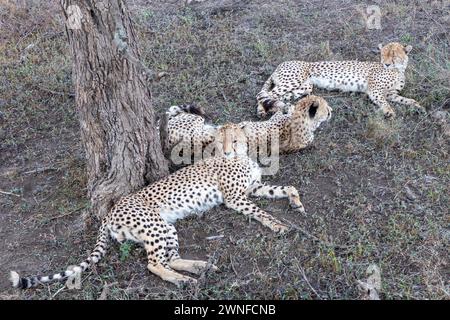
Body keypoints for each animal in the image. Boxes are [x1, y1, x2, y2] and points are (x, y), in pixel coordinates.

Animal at [9, 124, 306, 288]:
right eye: (220, 141)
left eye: (233, 140)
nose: (228, 149)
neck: (241, 157)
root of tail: (111, 210)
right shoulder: (236, 197)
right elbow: (261, 211)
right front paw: (279, 225)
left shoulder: (253, 187)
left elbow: (287, 187)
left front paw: (296, 203)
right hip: (156, 227)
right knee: (153, 264)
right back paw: (185, 280)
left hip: (166, 228)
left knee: (170, 258)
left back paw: (201, 267)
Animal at [256, 42, 426, 118]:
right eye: (383, 54)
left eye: (393, 55)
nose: (386, 63)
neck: (398, 70)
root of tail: (281, 64)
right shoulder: (375, 91)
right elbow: (384, 102)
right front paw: (389, 111)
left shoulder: (391, 93)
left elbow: (407, 99)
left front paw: (418, 106)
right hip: (292, 81)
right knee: (263, 95)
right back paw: (263, 110)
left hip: (304, 87)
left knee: (274, 97)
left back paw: (277, 108)